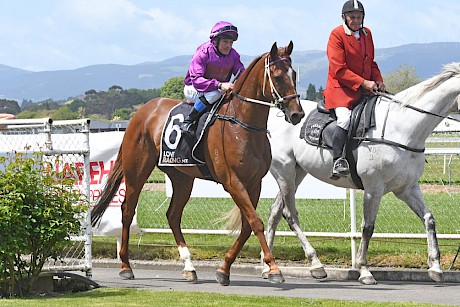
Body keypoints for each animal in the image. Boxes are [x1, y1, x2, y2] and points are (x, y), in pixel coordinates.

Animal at [91, 41, 304, 286]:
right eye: (278, 76)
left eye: (294, 74)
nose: (297, 114)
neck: (243, 125)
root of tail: (142, 112)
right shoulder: (233, 182)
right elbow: (255, 222)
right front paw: (274, 268)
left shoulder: (253, 183)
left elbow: (246, 226)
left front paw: (224, 269)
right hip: (137, 171)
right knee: (127, 210)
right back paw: (126, 265)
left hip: (182, 177)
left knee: (173, 215)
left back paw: (189, 267)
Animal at [264, 63, 460, 286]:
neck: (401, 128)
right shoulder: (373, 189)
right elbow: (368, 227)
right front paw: (364, 270)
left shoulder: (407, 189)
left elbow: (429, 219)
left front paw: (435, 267)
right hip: (284, 172)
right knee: (290, 214)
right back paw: (316, 265)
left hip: (296, 174)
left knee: (275, 212)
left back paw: (269, 268)